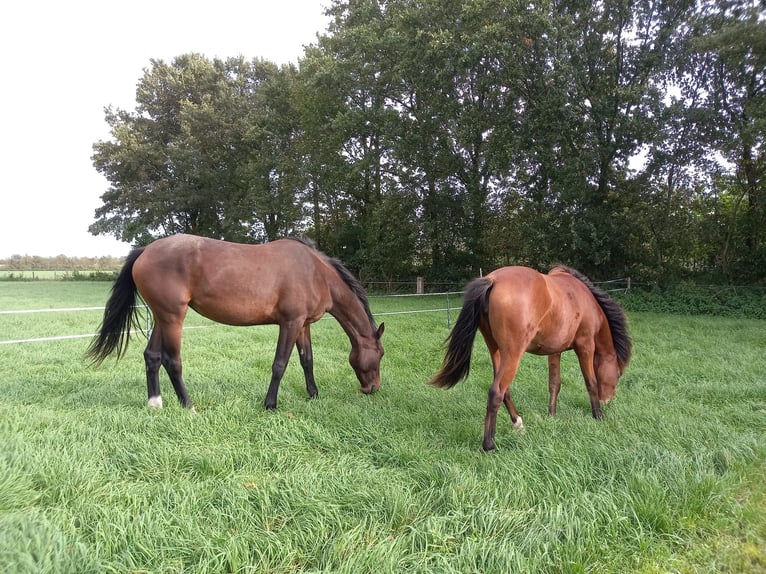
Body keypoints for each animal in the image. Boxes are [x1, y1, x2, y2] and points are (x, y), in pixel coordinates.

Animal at [88, 236, 388, 412]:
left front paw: (313, 395)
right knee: (172, 361)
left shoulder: (303, 325)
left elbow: (307, 361)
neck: (315, 272)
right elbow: (280, 364)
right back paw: (188, 406)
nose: (372, 389)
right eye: (381, 354)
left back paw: (155, 403)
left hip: (162, 316)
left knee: (152, 356)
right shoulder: (290, 323)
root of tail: (145, 250)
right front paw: (270, 405)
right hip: (173, 317)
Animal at [428, 266, 632, 454]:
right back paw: (489, 444)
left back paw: (517, 424)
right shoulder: (585, 346)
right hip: (513, 353)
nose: (607, 401)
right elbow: (591, 382)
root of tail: (493, 280)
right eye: (618, 374)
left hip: (496, 350)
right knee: (496, 391)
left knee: (505, 390)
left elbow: (554, 383)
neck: (585, 298)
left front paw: (552, 415)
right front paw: (598, 416)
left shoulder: (555, 352)